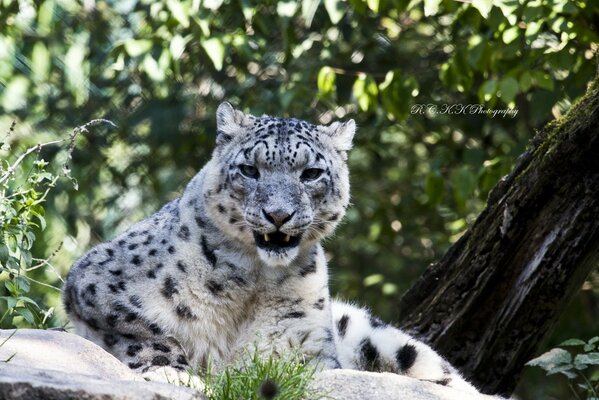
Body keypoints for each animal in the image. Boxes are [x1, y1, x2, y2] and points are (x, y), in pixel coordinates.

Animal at [62, 101, 478, 392]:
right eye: (250, 170)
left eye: (311, 173)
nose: (278, 214)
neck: (253, 280)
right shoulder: (95, 283)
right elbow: (144, 329)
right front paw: (176, 373)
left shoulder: (309, 346)